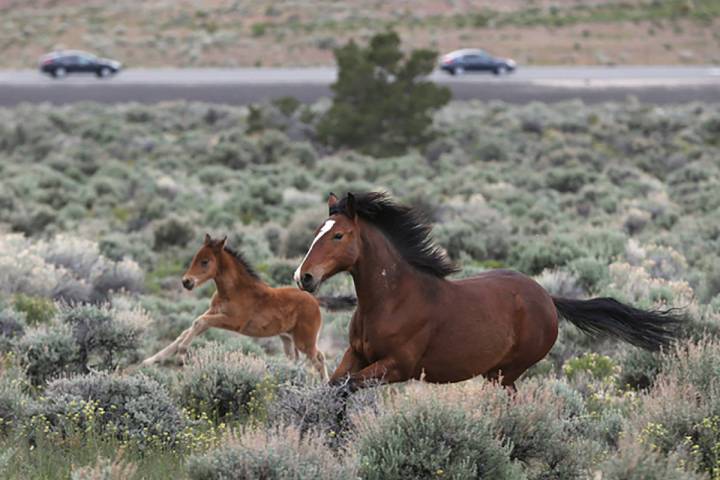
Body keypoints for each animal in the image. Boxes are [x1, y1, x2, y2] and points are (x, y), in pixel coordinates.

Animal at [141, 234, 354, 376]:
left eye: (205, 261)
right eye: (194, 258)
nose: (186, 282)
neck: (233, 291)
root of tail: (315, 300)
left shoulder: (234, 322)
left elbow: (199, 323)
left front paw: (180, 356)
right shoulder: (213, 311)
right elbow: (189, 328)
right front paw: (151, 360)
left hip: (305, 340)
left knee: (318, 359)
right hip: (288, 339)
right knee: (297, 360)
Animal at [296, 191, 684, 390]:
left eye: (338, 235)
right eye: (317, 230)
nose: (304, 277)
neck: (392, 300)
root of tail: (547, 297)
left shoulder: (397, 366)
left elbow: (349, 386)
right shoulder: (356, 356)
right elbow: (335, 385)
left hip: (506, 373)